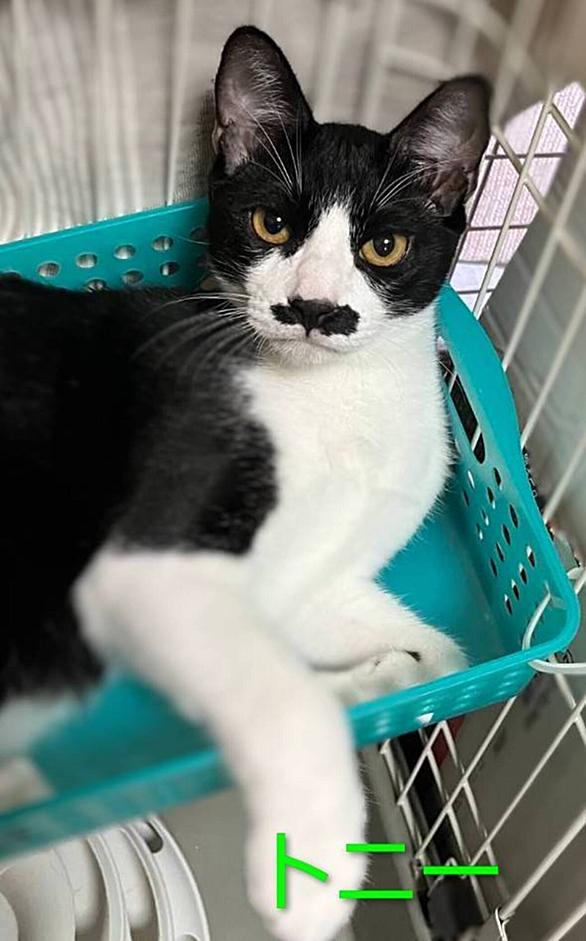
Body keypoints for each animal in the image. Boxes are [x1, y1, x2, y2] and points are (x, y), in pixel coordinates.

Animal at [0, 25, 490, 941]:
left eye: (383, 245)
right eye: (272, 223)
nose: (313, 309)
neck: (338, 402)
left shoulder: (310, 584)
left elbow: (444, 649)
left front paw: (401, 674)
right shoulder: (150, 565)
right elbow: (282, 698)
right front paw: (316, 862)